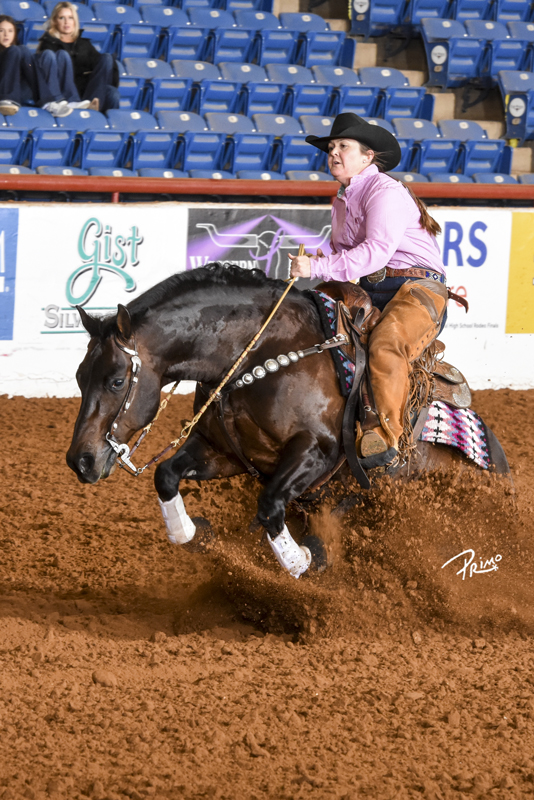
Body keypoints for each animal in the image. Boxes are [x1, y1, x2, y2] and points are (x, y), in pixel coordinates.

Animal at [67, 266, 510, 580]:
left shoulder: (317, 453)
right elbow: (166, 474)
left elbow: (270, 506)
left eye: (116, 380)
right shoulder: (223, 452)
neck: (260, 353)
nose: (80, 460)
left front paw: (304, 560)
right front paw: (192, 534)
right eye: (78, 376)